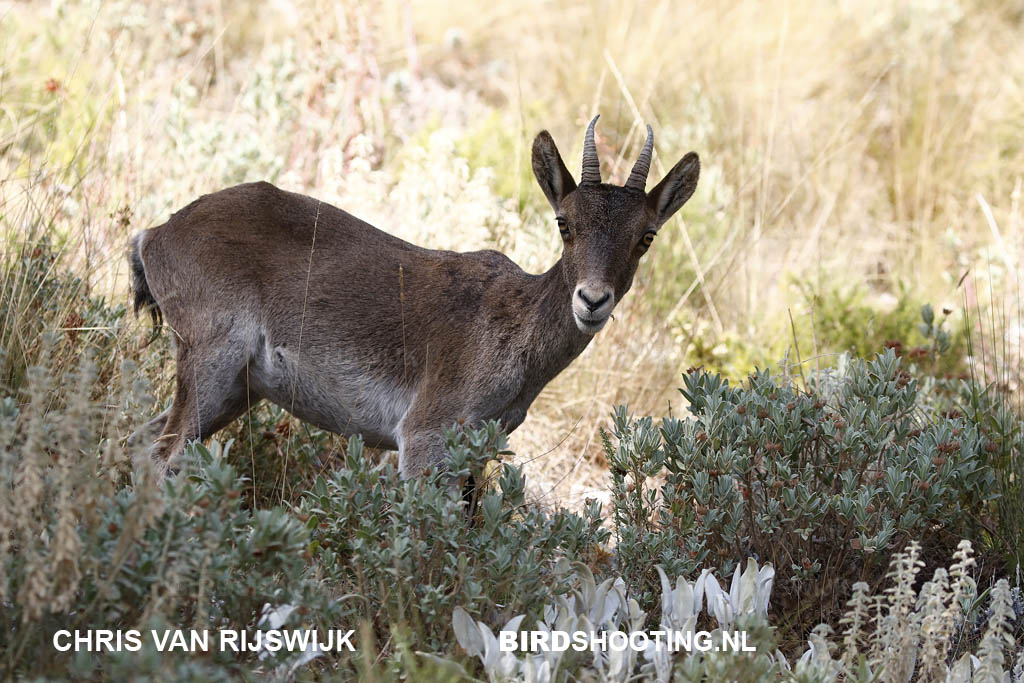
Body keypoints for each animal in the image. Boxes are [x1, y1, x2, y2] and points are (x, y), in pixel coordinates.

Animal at [128, 117, 700, 479]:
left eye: (645, 237)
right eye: (565, 223)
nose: (592, 301)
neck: (513, 325)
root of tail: (155, 236)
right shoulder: (425, 435)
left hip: (237, 390)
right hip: (211, 359)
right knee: (160, 453)